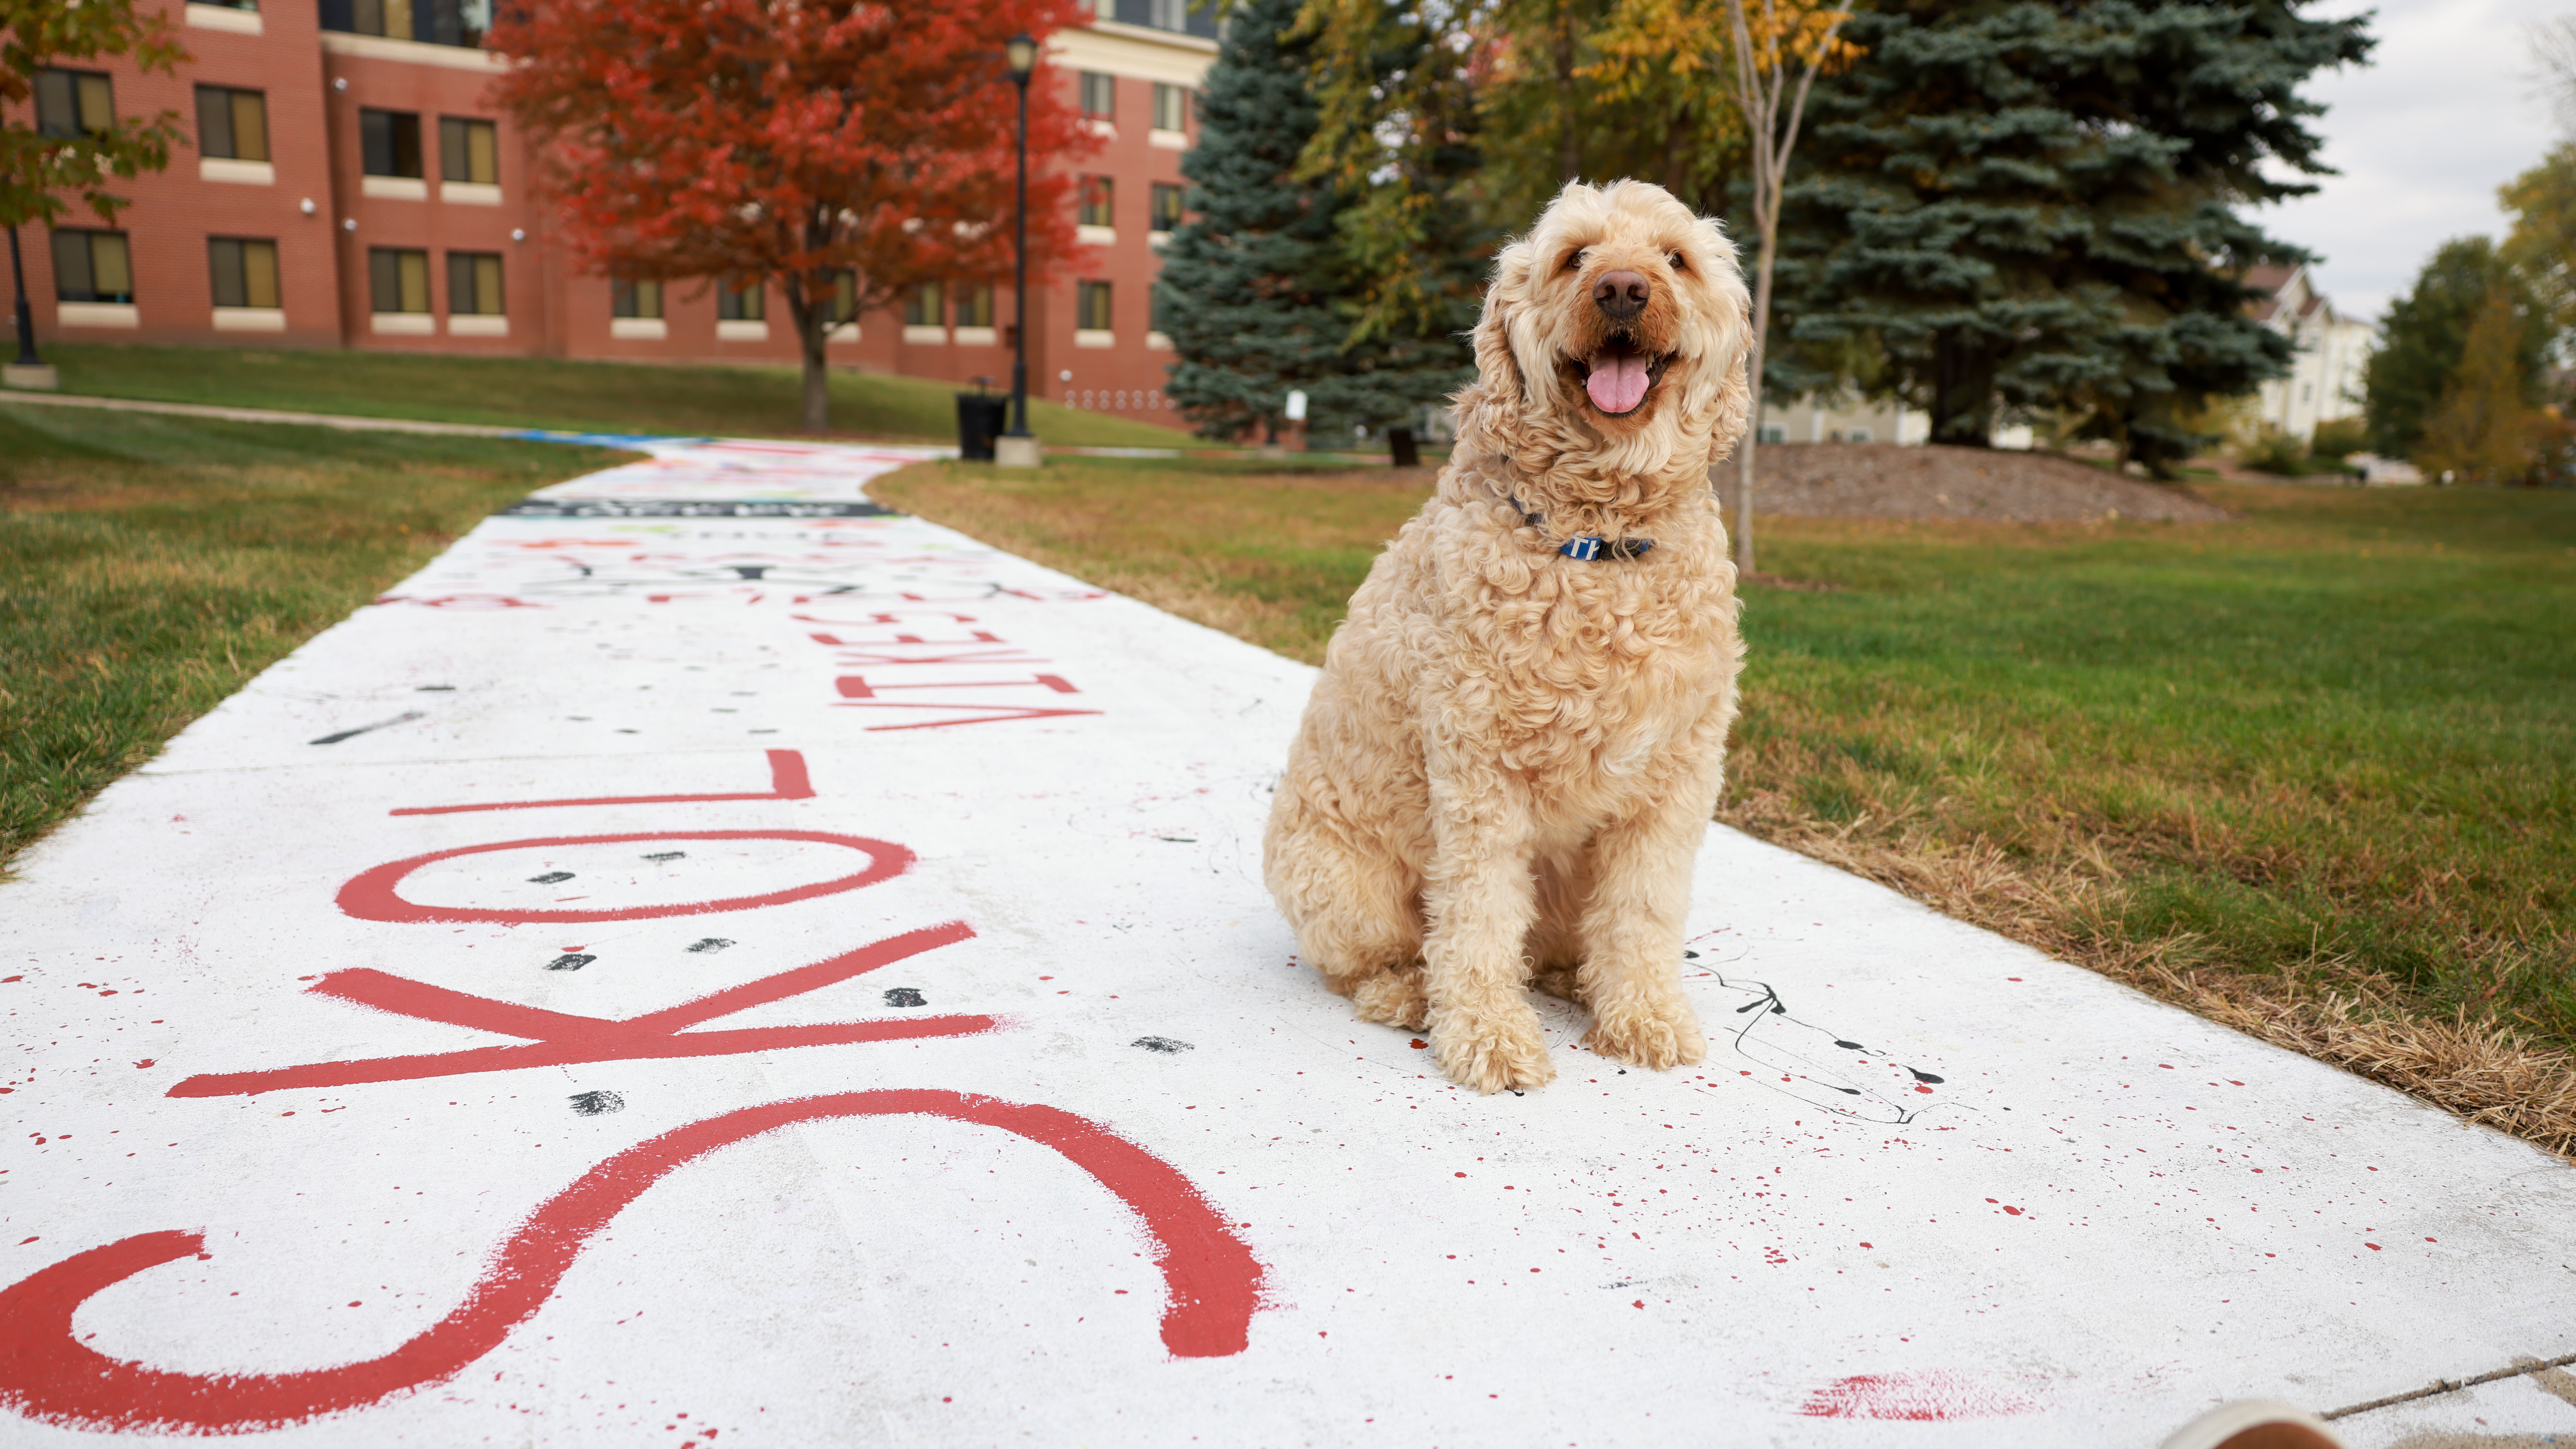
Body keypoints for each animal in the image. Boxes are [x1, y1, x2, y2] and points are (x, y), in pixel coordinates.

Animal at [1262, 178, 1752, 1083]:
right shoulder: (1480, 771)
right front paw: (1488, 1035)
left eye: (1675, 259)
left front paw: (1643, 1016)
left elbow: (1643, 909)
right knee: (1376, 958)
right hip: (1338, 883)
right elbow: (1479, 912)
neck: (1600, 540)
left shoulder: (1676, 776)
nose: (1622, 289)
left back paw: (1569, 979)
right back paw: (1408, 993)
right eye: (1574, 256)